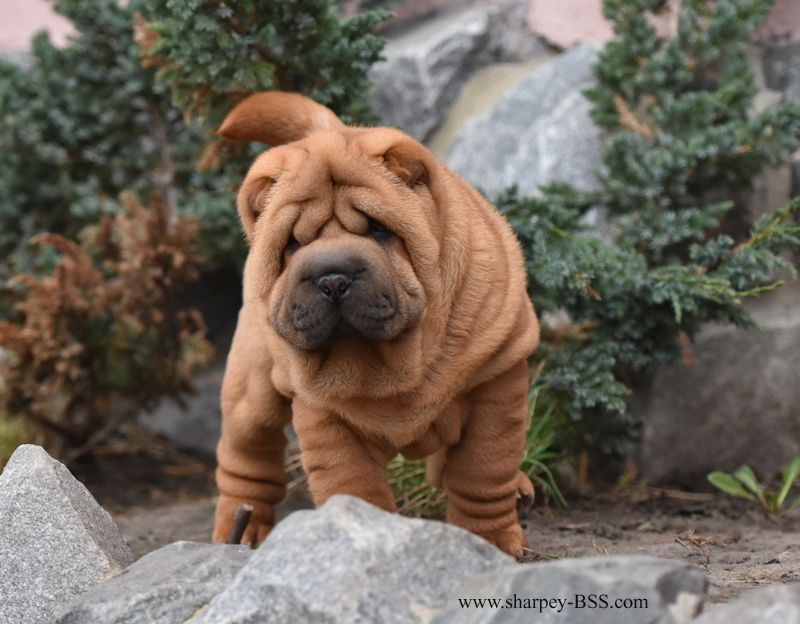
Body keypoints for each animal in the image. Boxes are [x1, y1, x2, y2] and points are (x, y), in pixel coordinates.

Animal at [209, 91, 540, 556]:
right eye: (292, 243)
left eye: (379, 229)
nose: (332, 278)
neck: (395, 361)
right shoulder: (326, 419)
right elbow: (355, 487)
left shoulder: (495, 385)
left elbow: (483, 471)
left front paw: (489, 540)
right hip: (250, 388)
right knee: (246, 456)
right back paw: (242, 528)